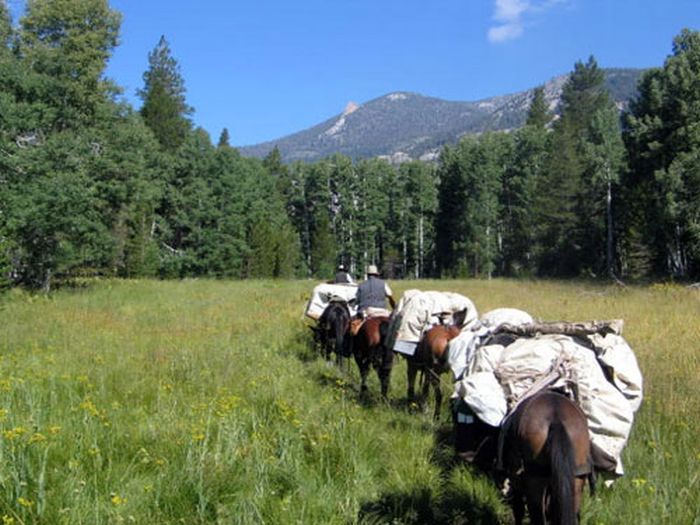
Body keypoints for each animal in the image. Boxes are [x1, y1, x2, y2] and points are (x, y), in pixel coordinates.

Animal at [500, 388, 592, 524]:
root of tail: (556, 419)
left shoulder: (515, 478)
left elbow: (518, 509)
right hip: (576, 481)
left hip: (535, 483)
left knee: (537, 516)